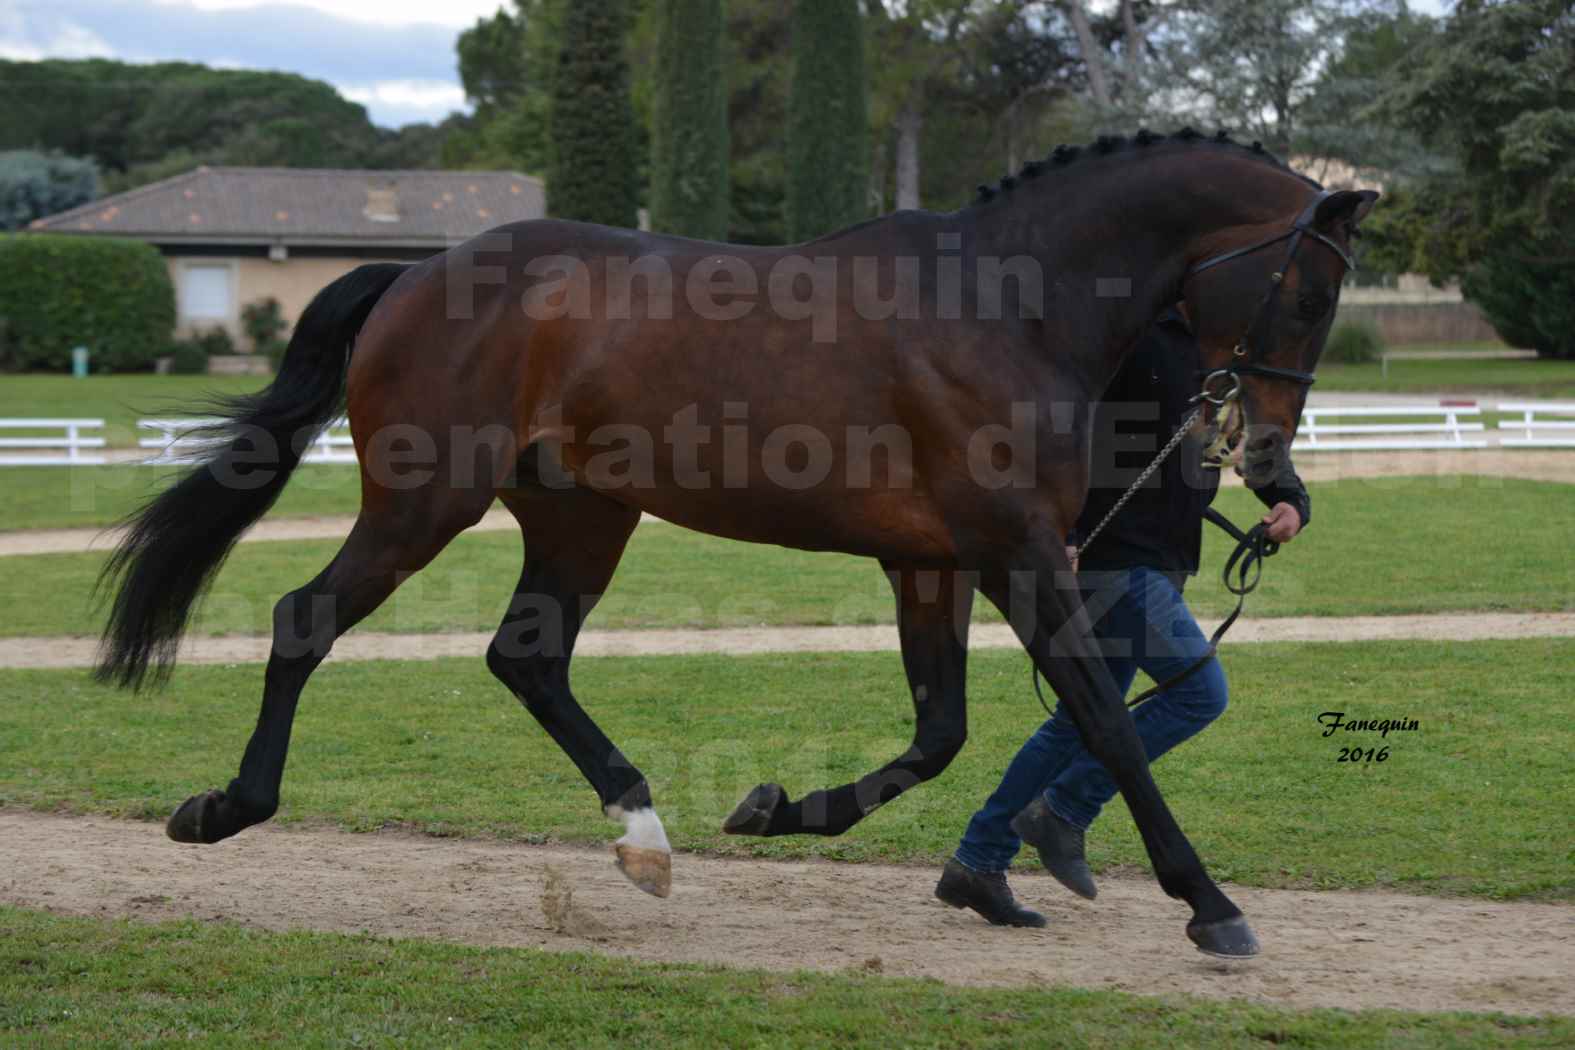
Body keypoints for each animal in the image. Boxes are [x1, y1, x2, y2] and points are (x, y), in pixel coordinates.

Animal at [101, 127, 1379, 957]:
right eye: (1309, 294)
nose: (1267, 458)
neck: (1009, 305)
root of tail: (419, 278)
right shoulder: (1016, 550)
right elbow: (1104, 719)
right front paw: (1208, 903)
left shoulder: (934, 562)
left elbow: (943, 732)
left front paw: (780, 810)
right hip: (425, 504)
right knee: (304, 620)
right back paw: (223, 807)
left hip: (582, 517)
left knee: (527, 660)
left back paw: (645, 841)